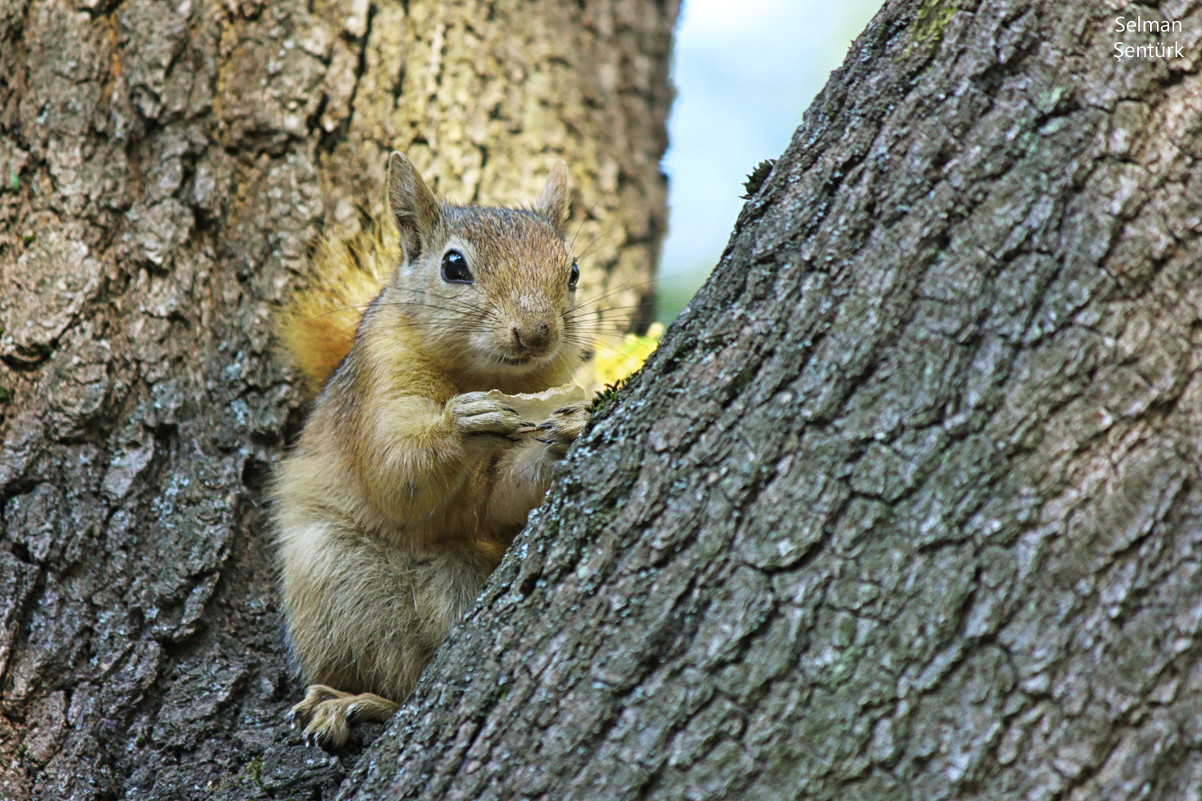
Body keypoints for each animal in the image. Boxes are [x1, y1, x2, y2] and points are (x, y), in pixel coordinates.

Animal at [274, 151, 591, 750]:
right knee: (388, 673)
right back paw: (350, 700)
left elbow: (498, 501)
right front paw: (467, 421)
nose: (537, 332)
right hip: (334, 575)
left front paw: (563, 435)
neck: (481, 373)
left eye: (574, 272)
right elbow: (395, 471)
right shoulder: (379, 380)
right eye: (454, 266)